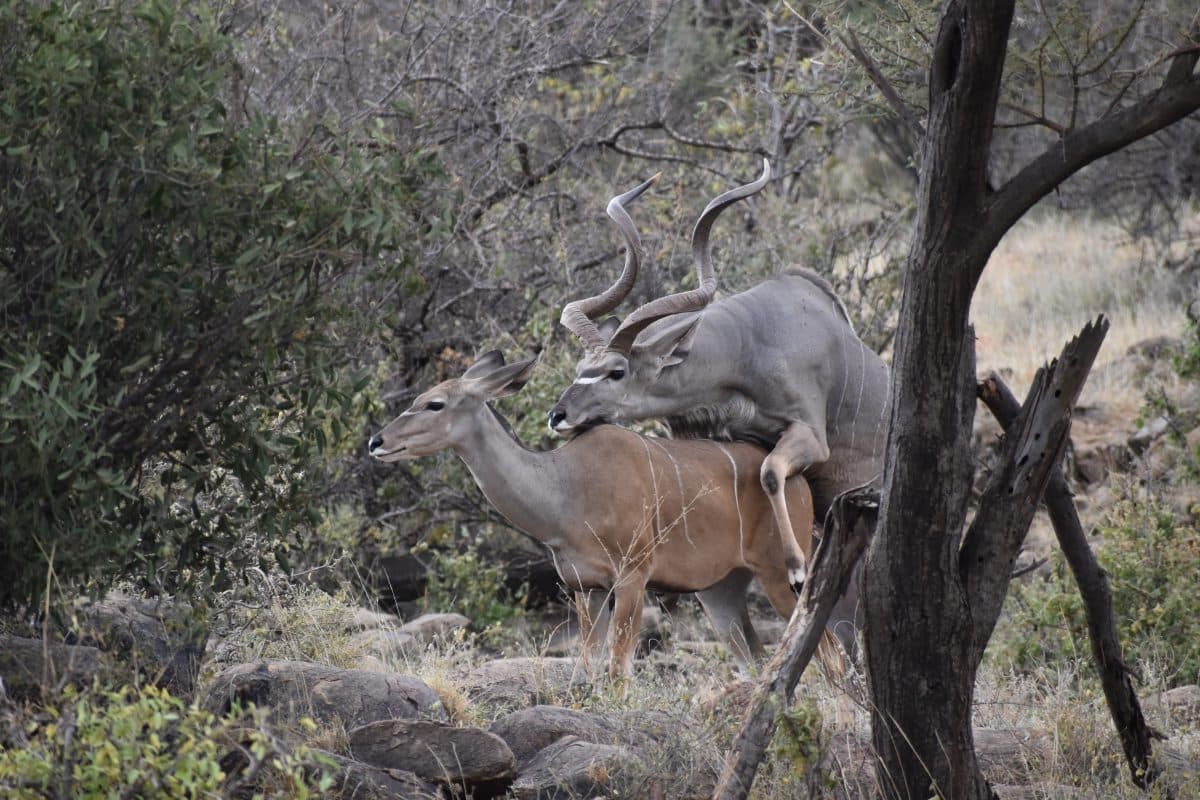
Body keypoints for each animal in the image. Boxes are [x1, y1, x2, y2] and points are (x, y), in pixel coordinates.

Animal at [367, 348, 842, 681]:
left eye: (435, 403)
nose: (376, 441)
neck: (564, 490)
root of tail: (800, 482)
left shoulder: (633, 576)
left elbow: (618, 671)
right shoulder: (585, 586)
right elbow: (589, 668)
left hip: (780, 576)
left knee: (828, 651)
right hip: (720, 591)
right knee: (758, 661)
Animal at [548, 162, 890, 654]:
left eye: (617, 371)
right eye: (581, 367)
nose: (558, 415)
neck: (745, 350)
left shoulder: (810, 434)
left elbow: (770, 472)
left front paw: (795, 566)